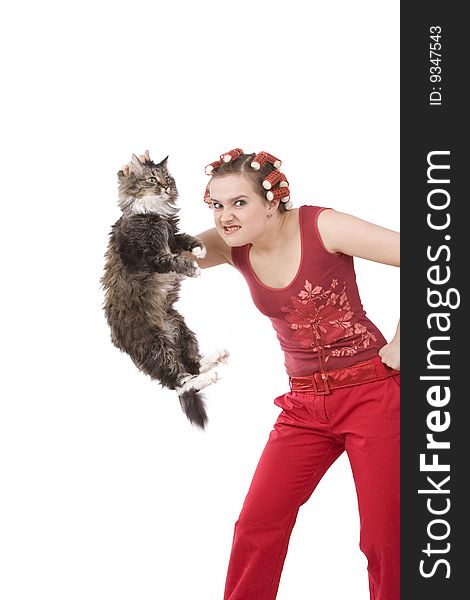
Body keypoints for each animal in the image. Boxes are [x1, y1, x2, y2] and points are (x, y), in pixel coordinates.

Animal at [100, 152, 229, 428]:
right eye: (152, 179)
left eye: (168, 178)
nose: (166, 187)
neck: (154, 213)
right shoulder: (148, 256)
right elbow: (173, 260)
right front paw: (194, 269)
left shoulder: (172, 236)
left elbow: (186, 238)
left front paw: (200, 250)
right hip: (156, 345)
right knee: (180, 383)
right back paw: (209, 377)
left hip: (181, 328)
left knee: (192, 366)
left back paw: (216, 359)